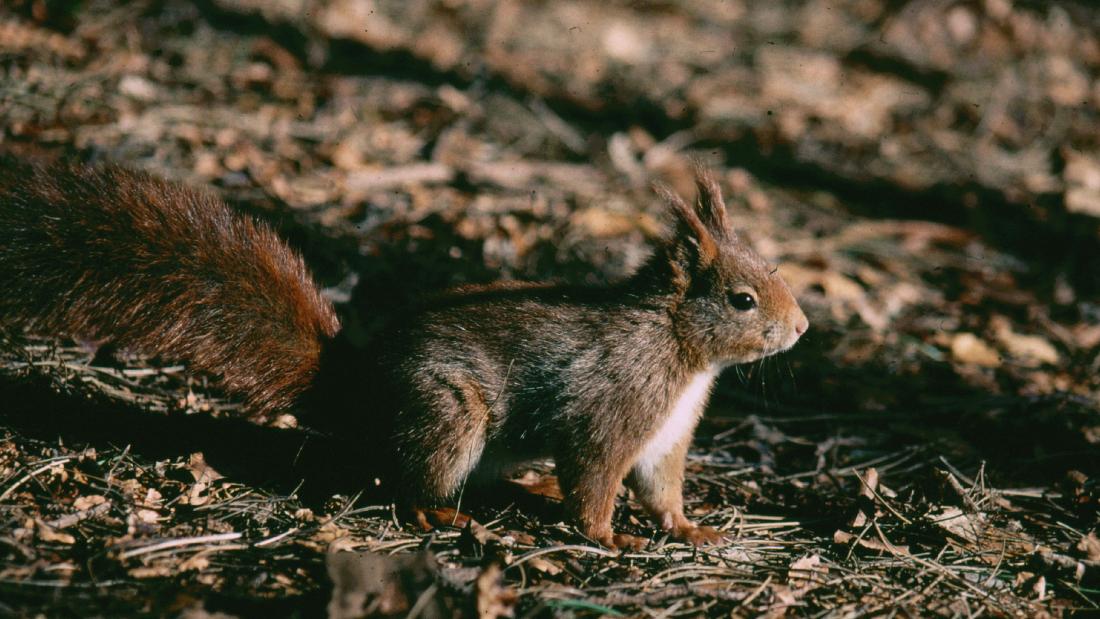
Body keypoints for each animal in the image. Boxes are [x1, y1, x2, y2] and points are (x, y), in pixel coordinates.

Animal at [0, 157, 809, 549]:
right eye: (743, 298)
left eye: (775, 265)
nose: (802, 327)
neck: (680, 350)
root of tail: (355, 387)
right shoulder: (612, 407)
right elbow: (593, 478)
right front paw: (608, 536)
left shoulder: (668, 435)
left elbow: (663, 490)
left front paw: (689, 528)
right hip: (448, 417)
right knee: (410, 482)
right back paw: (441, 516)